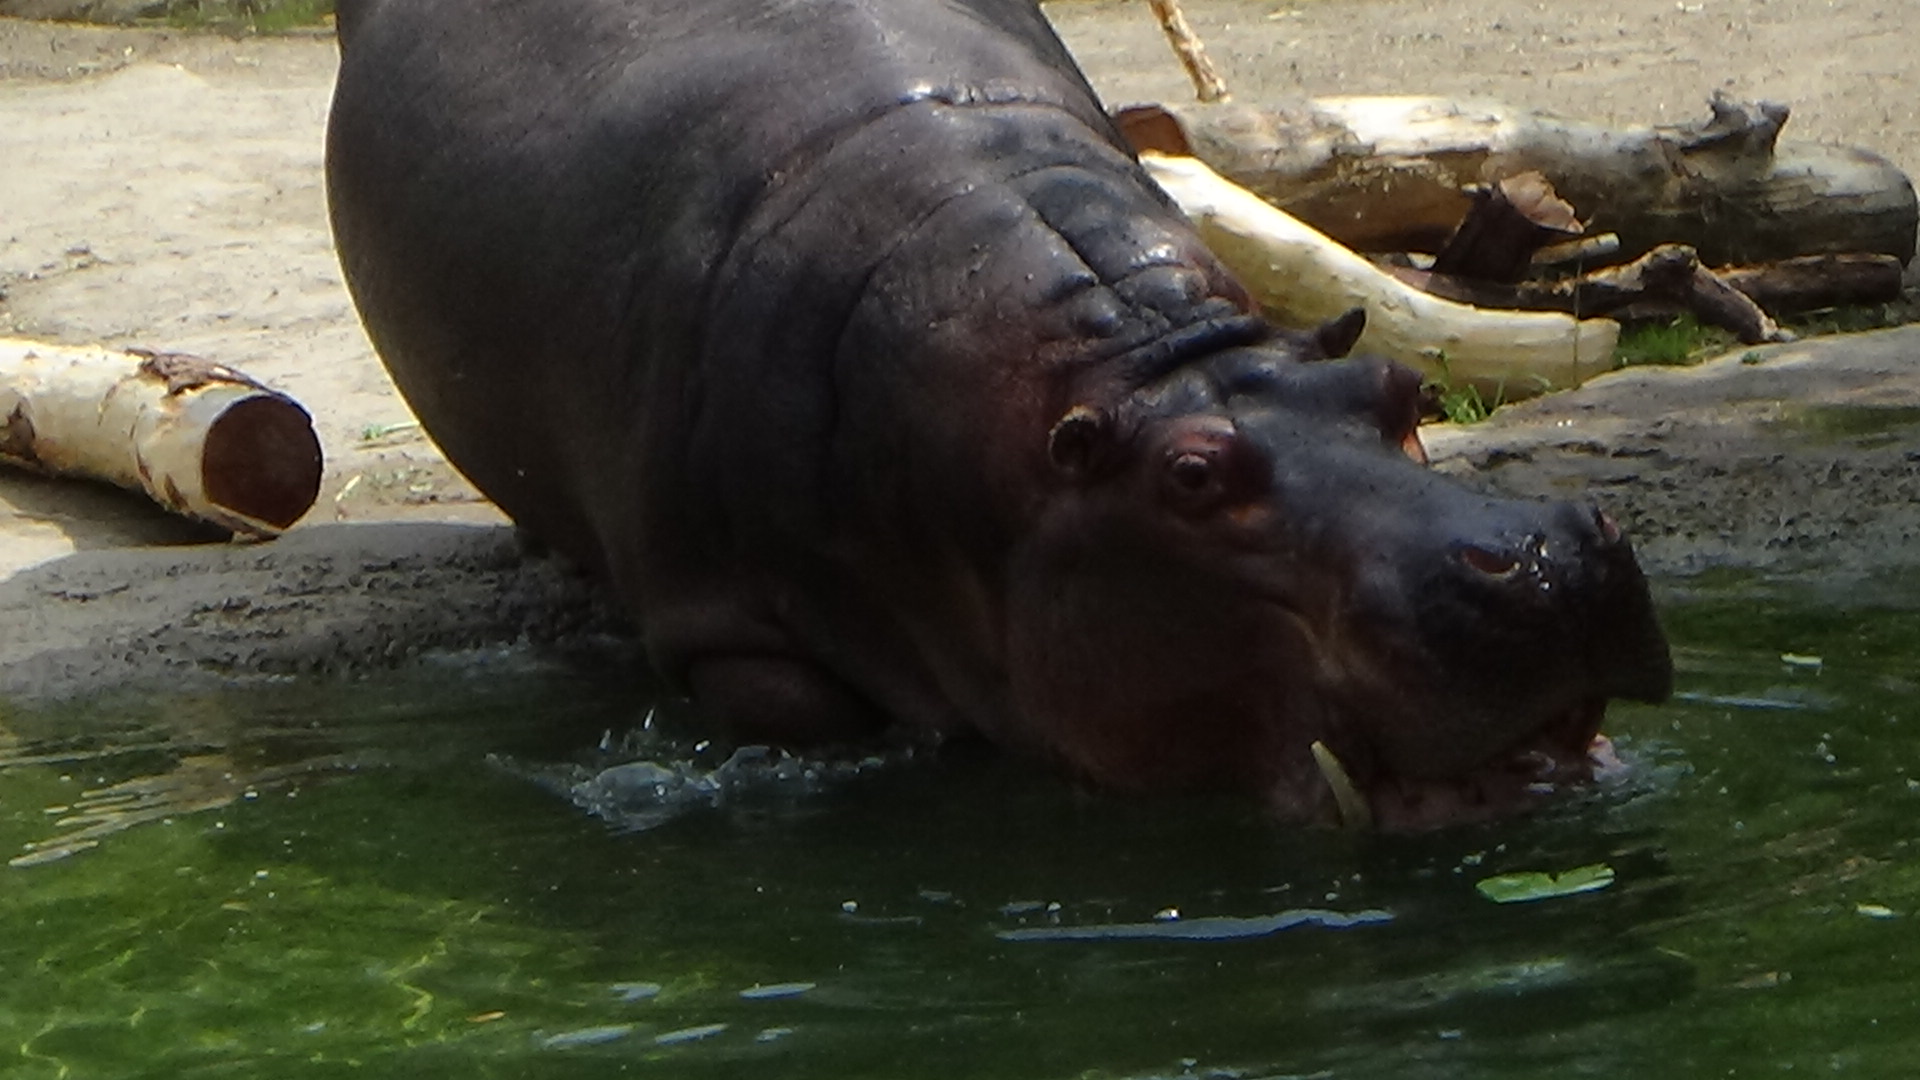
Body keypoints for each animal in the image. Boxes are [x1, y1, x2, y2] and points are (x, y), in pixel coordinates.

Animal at [325, 0, 1670, 827]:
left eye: (1398, 393)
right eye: (1190, 478)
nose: (1544, 555)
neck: (1124, 366)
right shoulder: (722, 621)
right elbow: (808, 707)